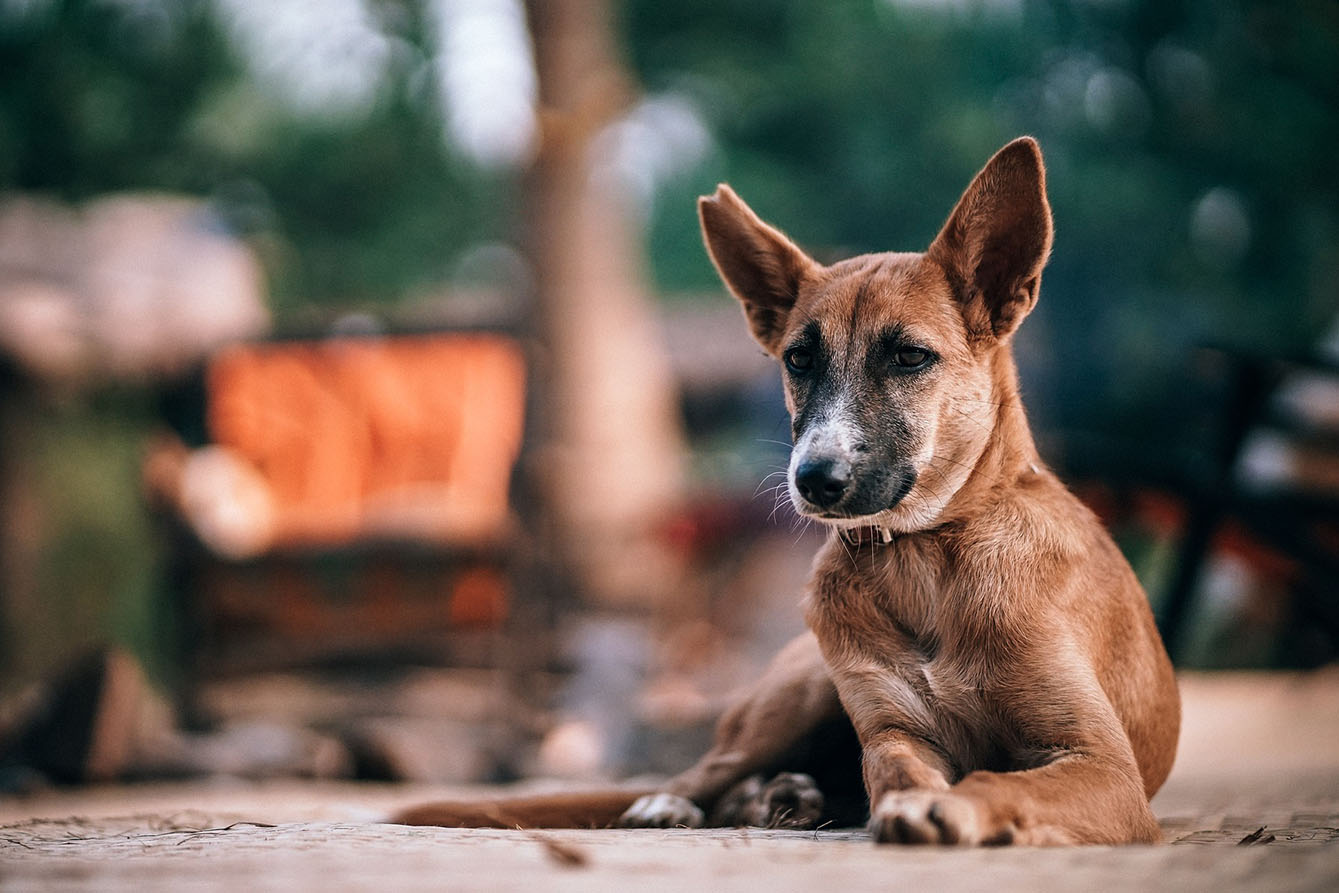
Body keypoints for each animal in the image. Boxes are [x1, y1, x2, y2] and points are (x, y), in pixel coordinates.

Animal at [390, 137, 1178, 846]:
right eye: (799, 359)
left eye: (909, 356)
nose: (813, 479)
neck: (925, 557)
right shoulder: (892, 732)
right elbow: (894, 770)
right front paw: (911, 801)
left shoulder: (1102, 765)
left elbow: (997, 778)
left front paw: (950, 808)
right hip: (799, 693)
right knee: (707, 770)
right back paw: (689, 802)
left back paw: (783, 798)